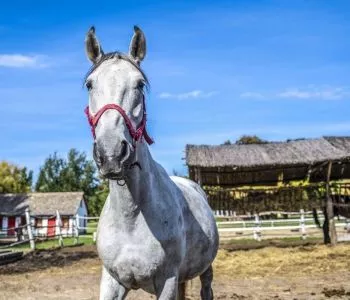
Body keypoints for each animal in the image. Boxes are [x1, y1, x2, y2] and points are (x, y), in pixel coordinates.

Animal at [83, 25, 217, 300]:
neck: (130, 219)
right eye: (90, 84)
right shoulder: (111, 281)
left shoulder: (166, 281)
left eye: (140, 84)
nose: (111, 153)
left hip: (205, 269)